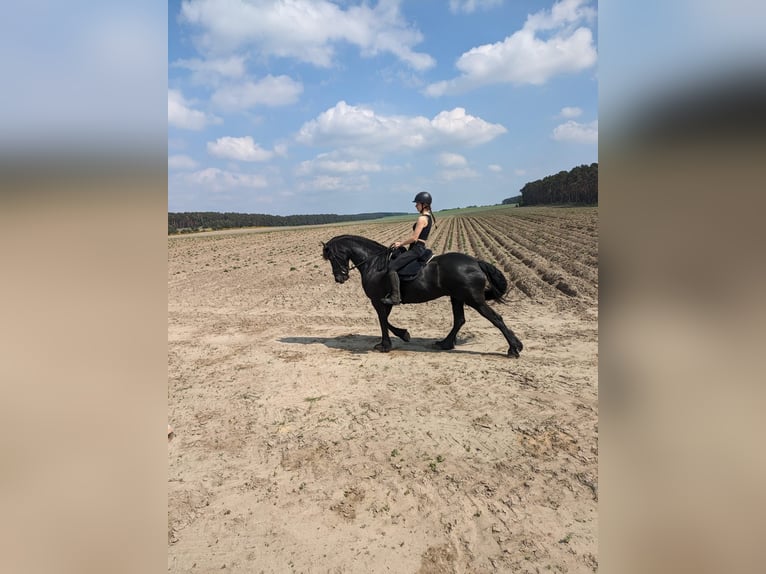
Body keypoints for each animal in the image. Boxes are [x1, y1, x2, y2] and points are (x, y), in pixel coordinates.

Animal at [322, 234, 523, 358]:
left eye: (332, 257)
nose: (340, 278)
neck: (373, 263)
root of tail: (475, 262)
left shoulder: (378, 301)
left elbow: (382, 321)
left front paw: (387, 344)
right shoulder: (385, 301)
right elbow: (386, 320)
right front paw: (403, 335)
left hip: (474, 299)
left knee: (496, 318)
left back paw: (514, 348)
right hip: (457, 297)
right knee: (459, 320)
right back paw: (445, 344)